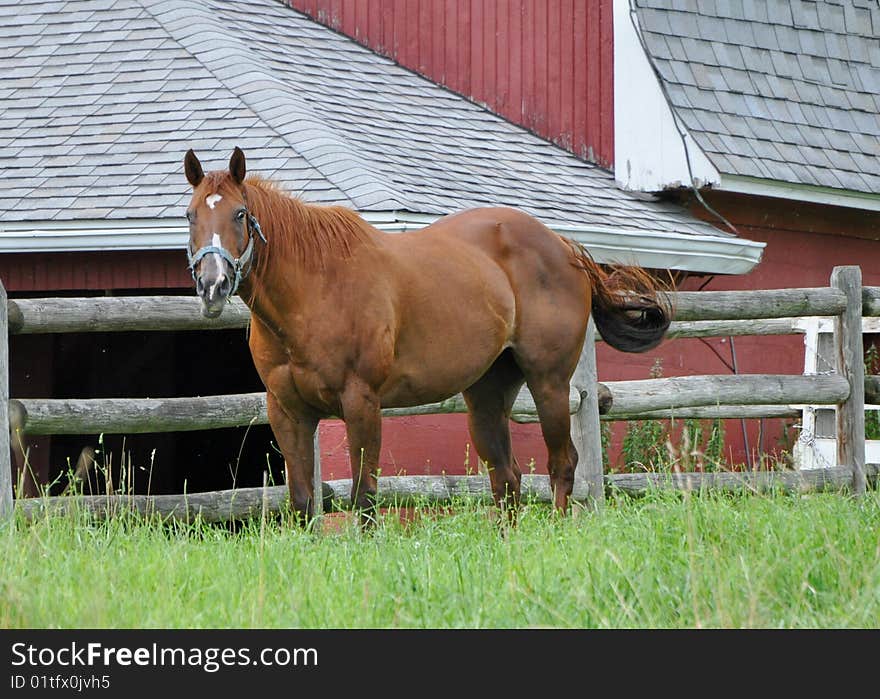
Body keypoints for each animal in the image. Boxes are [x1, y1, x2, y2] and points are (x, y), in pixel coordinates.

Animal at [182, 145, 672, 524]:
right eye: (189, 216)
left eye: (240, 214)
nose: (212, 284)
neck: (315, 288)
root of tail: (565, 248)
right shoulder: (288, 411)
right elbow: (303, 502)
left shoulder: (361, 403)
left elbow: (364, 494)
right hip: (488, 393)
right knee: (507, 476)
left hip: (548, 383)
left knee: (562, 464)